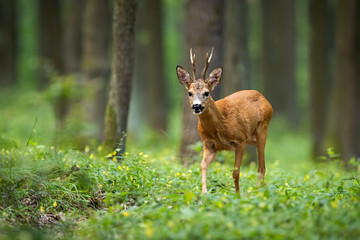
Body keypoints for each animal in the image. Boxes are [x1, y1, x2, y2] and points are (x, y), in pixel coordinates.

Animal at [176, 48, 272, 193]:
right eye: (189, 93)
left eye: (206, 93)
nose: (197, 106)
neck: (221, 125)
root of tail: (266, 101)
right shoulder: (209, 145)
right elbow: (202, 166)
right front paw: (204, 192)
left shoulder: (240, 140)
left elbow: (236, 173)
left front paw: (238, 194)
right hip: (252, 137)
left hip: (262, 127)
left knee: (261, 167)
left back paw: (257, 192)